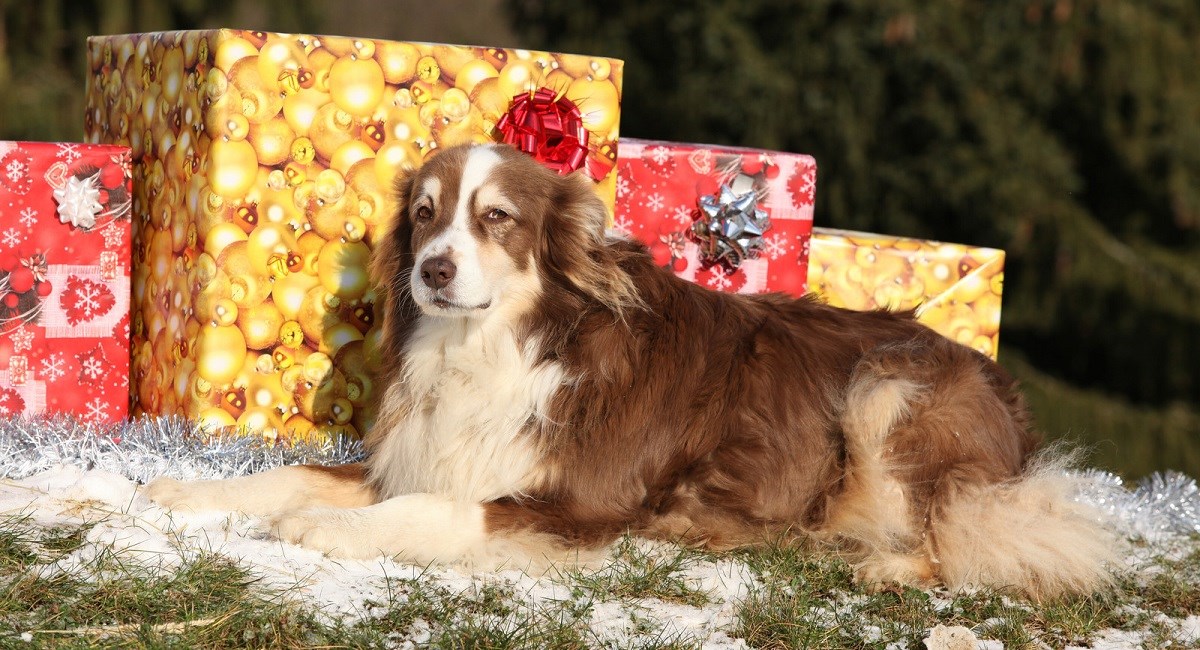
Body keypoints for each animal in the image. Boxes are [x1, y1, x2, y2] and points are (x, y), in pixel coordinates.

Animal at [150, 142, 1113, 602]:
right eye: (423, 215)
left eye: (496, 219)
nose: (433, 271)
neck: (500, 347)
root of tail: (1010, 402)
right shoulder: (415, 456)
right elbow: (286, 474)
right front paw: (185, 492)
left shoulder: (581, 505)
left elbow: (435, 513)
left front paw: (327, 529)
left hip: (889, 389)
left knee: (971, 538)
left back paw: (886, 567)